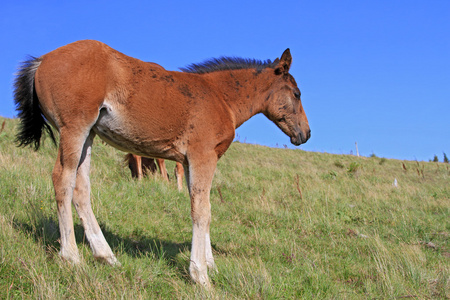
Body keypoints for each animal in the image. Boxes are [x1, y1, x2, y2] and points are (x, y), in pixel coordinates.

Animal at [13, 39, 310, 286]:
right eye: (296, 93)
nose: (305, 134)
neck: (220, 97)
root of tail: (42, 60)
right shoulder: (203, 156)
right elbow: (202, 211)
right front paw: (200, 275)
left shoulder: (189, 162)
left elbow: (202, 205)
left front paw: (210, 265)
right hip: (74, 128)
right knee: (62, 180)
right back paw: (72, 257)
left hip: (88, 135)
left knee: (81, 190)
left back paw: (106, 256)